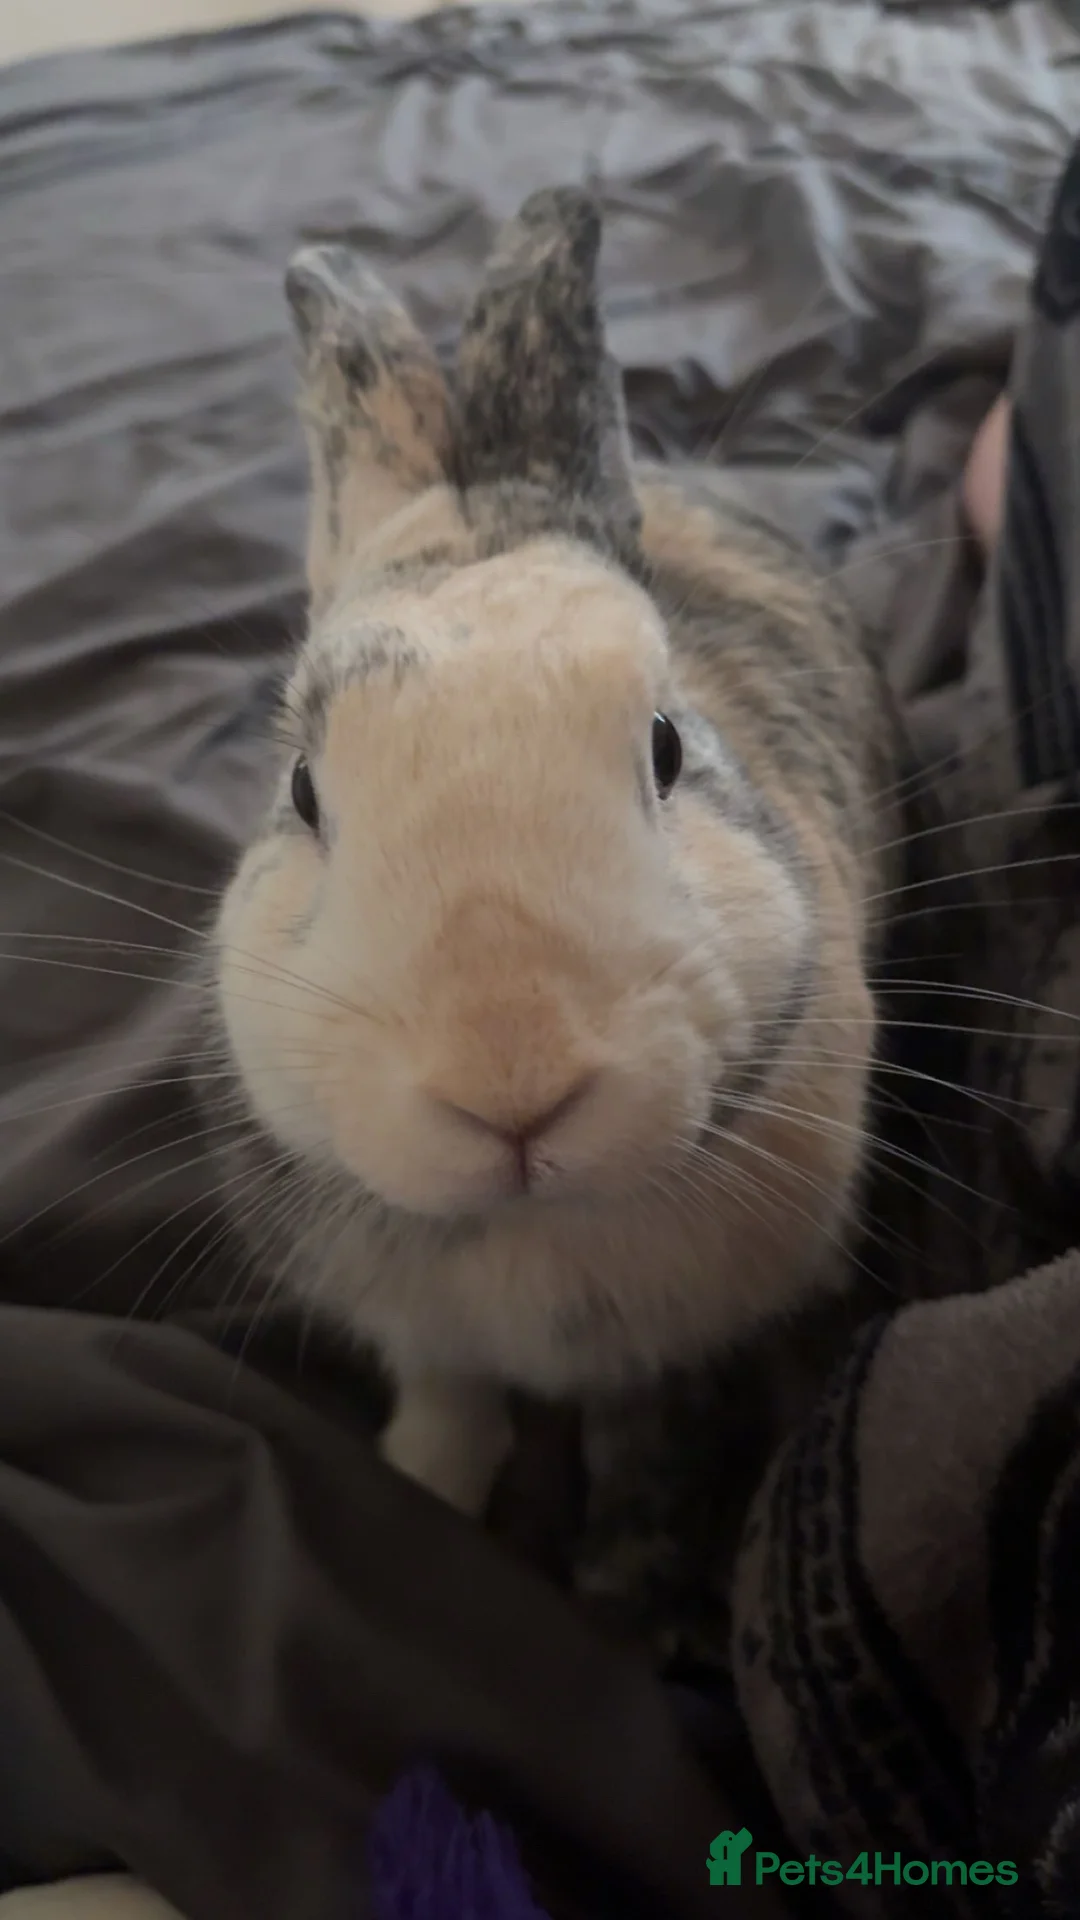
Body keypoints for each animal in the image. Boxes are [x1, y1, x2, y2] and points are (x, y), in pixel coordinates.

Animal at [201, 187, 898, 1517]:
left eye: (668, 745)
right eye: (303, 792)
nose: (511, 1087)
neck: (539, 1231)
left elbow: (637, 1428)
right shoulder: (422, 1334)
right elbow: (446, 1393)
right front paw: (429, 1484)